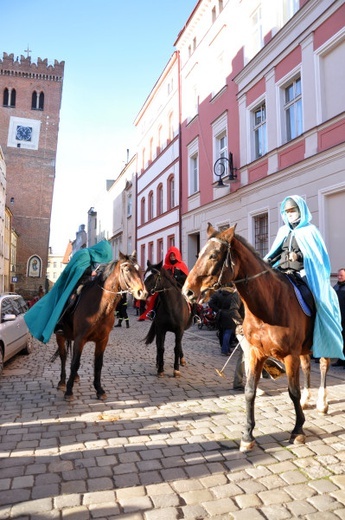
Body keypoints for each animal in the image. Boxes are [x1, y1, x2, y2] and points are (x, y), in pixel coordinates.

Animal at [53, 252, 146, 402]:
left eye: (140, 269)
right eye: (127, 269)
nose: (142, 293)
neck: (99, 306)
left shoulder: (102, 340)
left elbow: (98, 364)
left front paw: (99, 390)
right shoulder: (80, 339)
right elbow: (75, 363)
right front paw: (69, 391)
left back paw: (75, 377)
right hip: (60, 335)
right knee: (63, 356)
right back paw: (62, 382)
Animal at [181, 223, 330, 450]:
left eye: (214, 255)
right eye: (199, 254)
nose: (187, 291)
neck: (269, 304)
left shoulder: (290, 355)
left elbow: (292, 391)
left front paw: (298, 430)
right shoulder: (254, 353)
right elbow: (250, 390)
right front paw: (247, 435)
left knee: (323, 365)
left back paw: (322, 402)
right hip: (305, 347)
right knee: (307, 366)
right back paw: (307, 399)